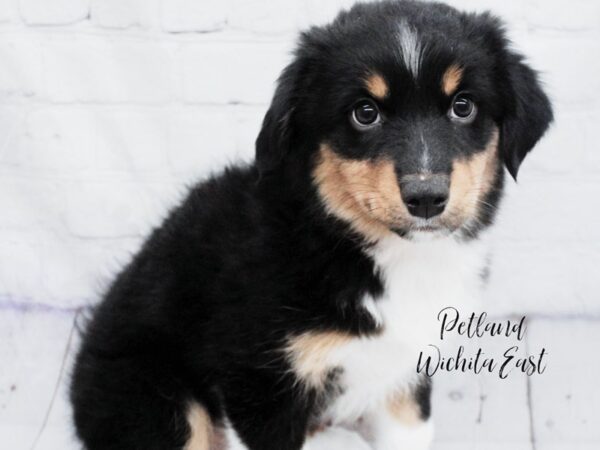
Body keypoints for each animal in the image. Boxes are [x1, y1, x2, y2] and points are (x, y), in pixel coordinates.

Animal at [70, 0, 552, 450]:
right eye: (364, 112)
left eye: (463, 106)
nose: (426, 198)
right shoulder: (259, 383)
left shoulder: (405, 378)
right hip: (156, 398)